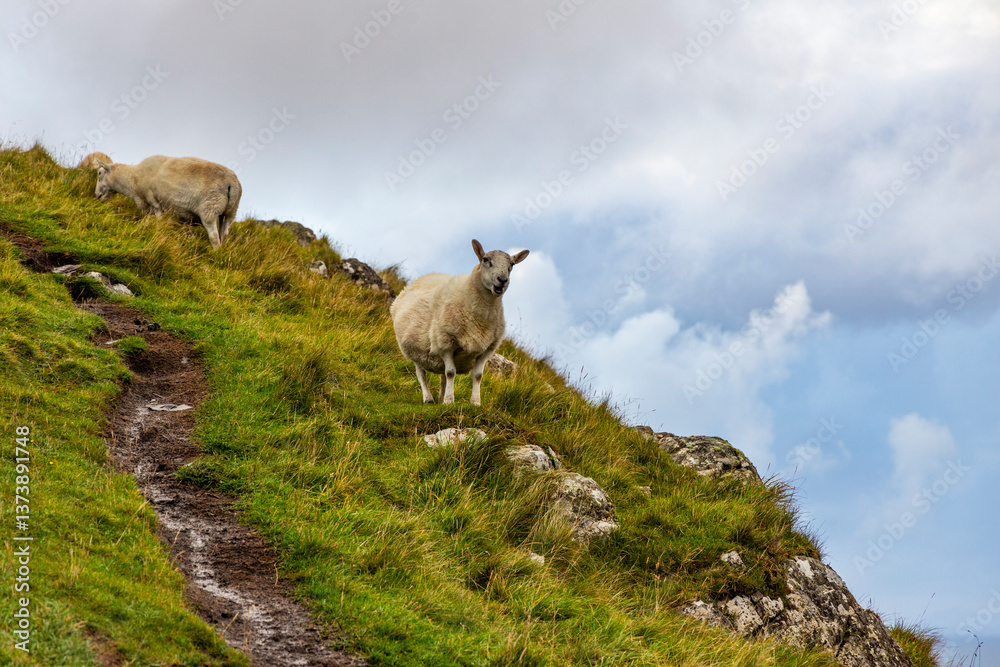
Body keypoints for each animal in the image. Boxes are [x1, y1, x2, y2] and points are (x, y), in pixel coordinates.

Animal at [95, 155, 242, 249]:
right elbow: (188, 232)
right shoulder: (184, 216)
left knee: (214, 237)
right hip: (230, 212)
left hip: (209, 209)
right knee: (224, 234)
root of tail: (231, 182)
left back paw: (215, 253)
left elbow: (159, 220)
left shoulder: (154, 202)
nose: (96, 196)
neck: (132, 179)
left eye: (99, 174)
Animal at [390, 239, 529, 405]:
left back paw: (441, 397)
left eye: (512, 264)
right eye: (486, 260)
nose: (502, 280)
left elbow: (477, 376)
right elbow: (451, 373)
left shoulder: (487, 349)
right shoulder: (445, 343)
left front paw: (474, 402)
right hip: (414, 350)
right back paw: (429, 398)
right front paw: (450, 401)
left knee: (442, 376)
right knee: (421, 373)